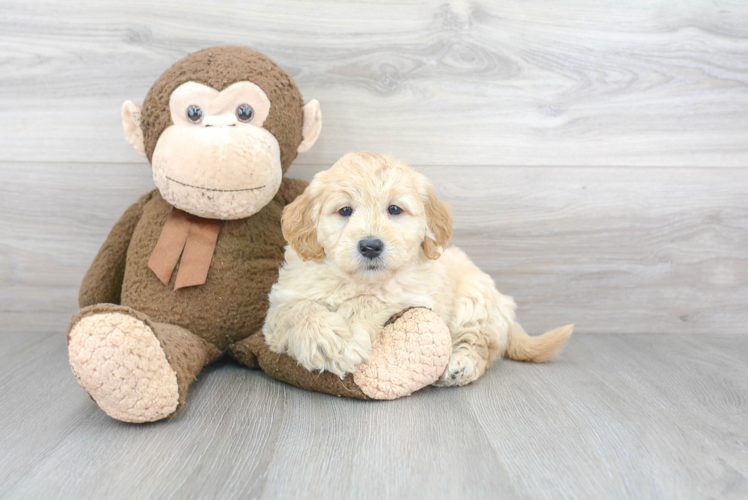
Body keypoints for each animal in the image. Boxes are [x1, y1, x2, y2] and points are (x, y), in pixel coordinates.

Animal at [262, 152, 572, 386]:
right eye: (345, 210)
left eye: (394, 210)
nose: (371, 246)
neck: (357, 280)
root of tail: (503, 308)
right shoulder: (281, 302)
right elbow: (298, 310)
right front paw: (326, 341)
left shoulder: (412, 295)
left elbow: (370, 300)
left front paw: (347, 333)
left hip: (474, 301)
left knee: (481, 344)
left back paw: (460, 365)